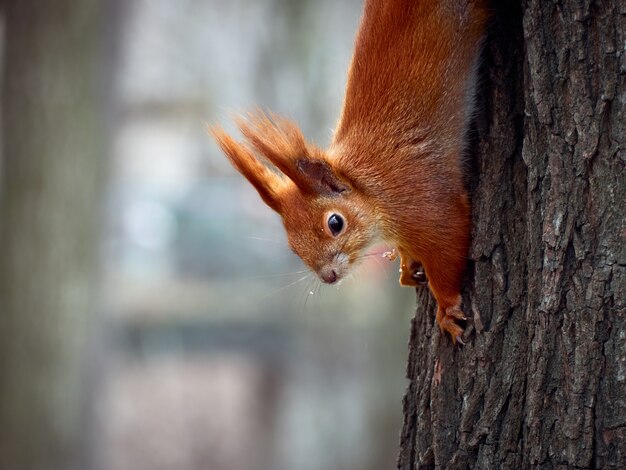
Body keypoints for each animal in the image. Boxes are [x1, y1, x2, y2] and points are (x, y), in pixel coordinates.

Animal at [210, 0, 488, 346]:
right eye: (292, 246)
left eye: (335, 223)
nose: (328, 277)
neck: (371, 189)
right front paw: (408, 265)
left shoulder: (422, 199)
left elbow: (448, 244)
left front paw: (447, 308)